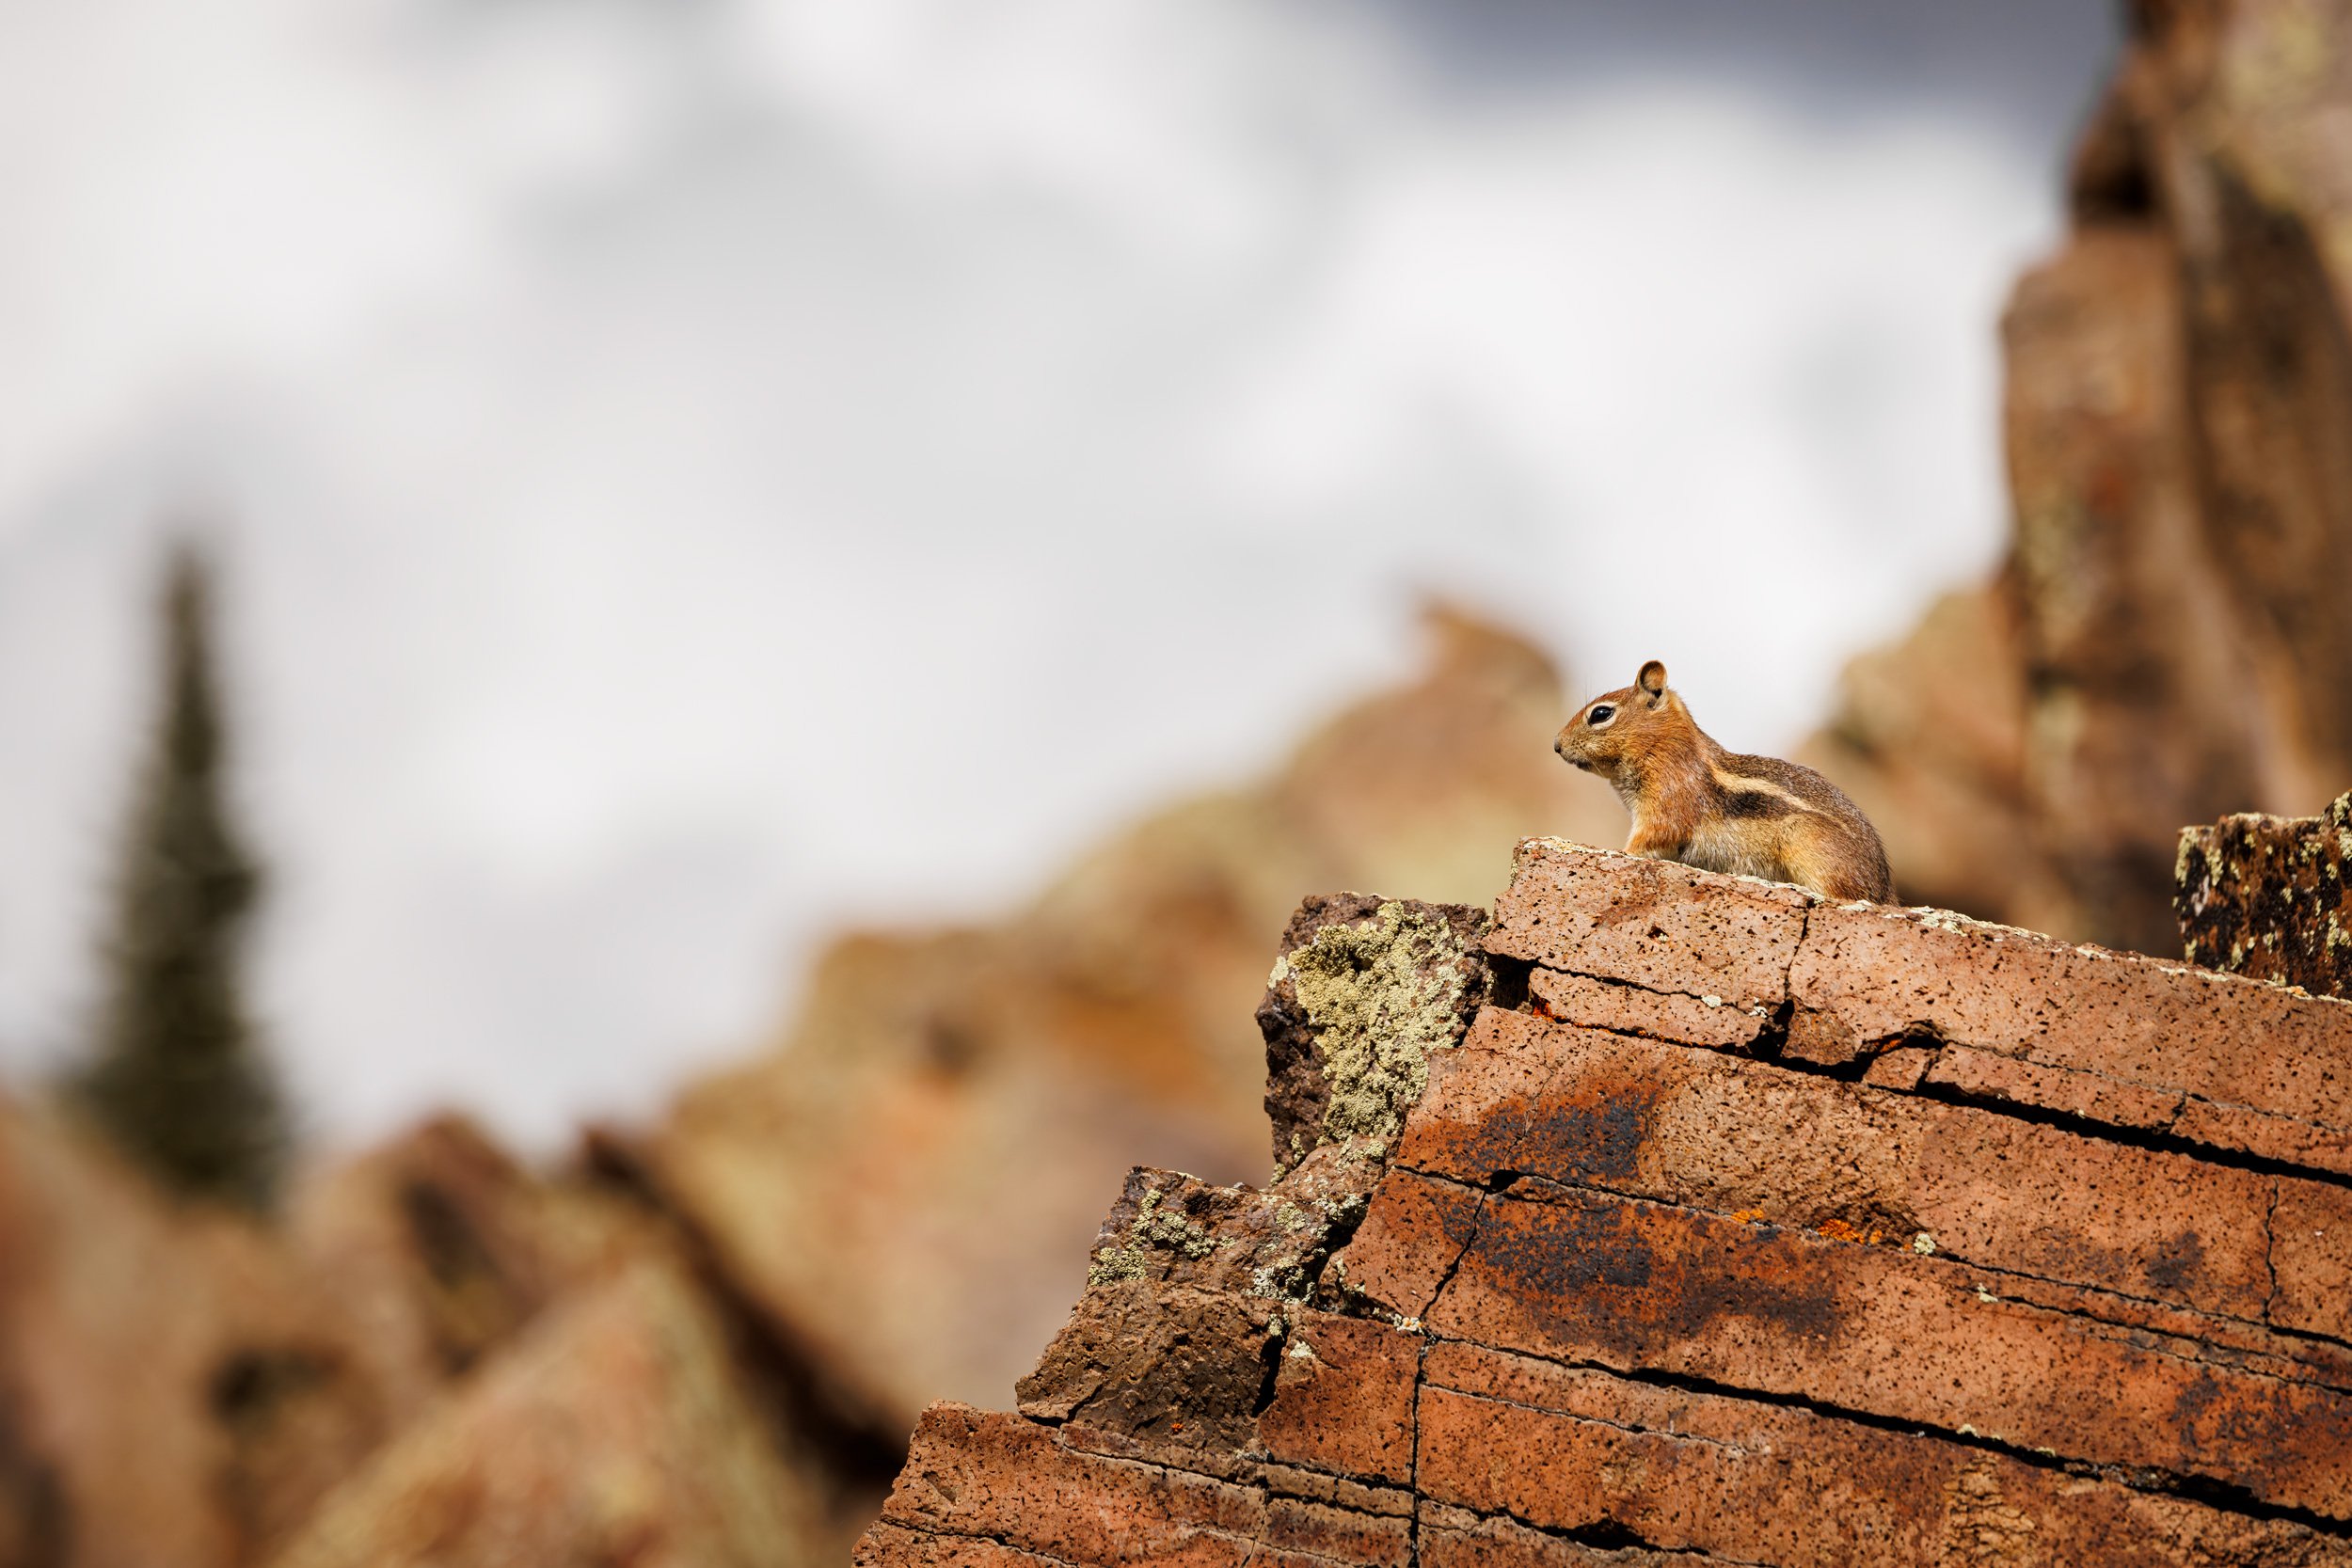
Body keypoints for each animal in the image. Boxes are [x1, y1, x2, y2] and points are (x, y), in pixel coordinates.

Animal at [1554, 660, 1895, 903]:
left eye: (1601, 714)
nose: (1556, 745)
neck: (1661, 746)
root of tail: (1885, 889)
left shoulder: (1668, 797)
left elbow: (1654, 835)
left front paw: (1618, 852)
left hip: (1806, 842)